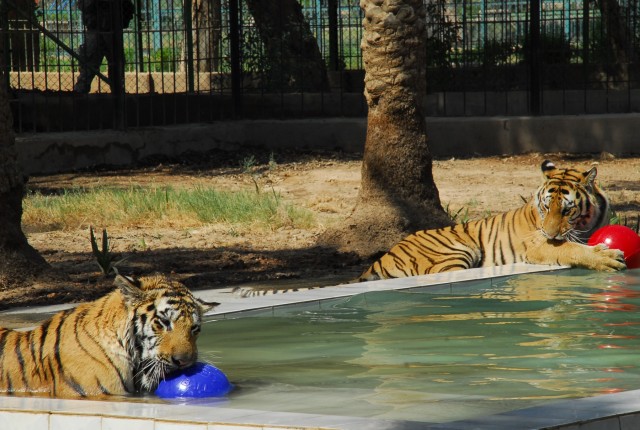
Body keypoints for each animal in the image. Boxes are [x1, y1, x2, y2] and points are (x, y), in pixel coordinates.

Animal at [235, 160, 624, 298]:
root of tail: (381, 256)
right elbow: (570, 249)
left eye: (567, 209)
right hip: (456, 251)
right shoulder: (537, 246)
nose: (550, 232)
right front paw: (605, 258)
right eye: (545, 207)